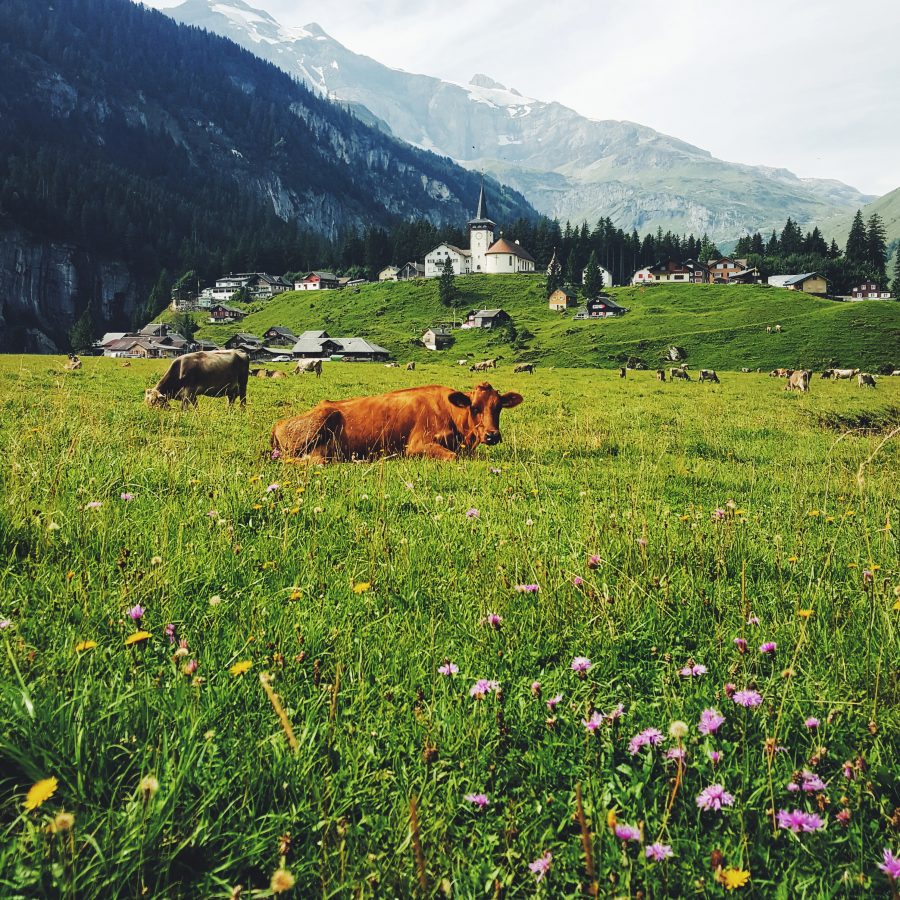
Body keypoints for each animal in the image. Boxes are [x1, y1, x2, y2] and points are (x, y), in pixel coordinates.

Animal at [270, 382, 524, 464]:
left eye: (498, 407)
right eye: (475, 407)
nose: (492, 435)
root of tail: (278, 423)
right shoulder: (416, 445)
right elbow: (452, 457)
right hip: (323, 419)